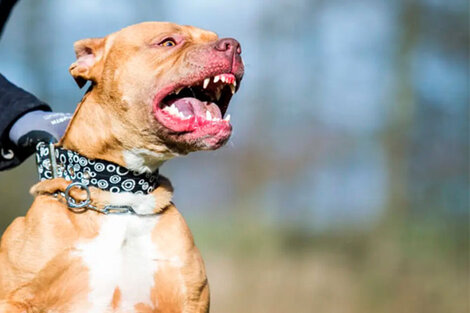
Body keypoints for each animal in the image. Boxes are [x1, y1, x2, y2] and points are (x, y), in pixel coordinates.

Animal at [0, 22, 244, 312]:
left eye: (215, 38)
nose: (233, 45)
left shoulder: (189, 299)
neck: (122, 195)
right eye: (168, 42)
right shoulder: (15, 297)